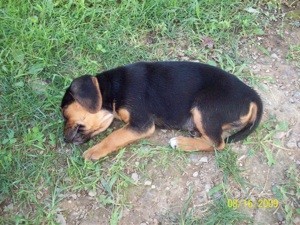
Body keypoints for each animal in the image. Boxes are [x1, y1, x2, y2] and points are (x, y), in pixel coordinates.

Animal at [60, 61, 262, 160]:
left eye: (63, 113)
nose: (63, 139)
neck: (113, 89)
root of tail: (252, 95)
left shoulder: (141, 123)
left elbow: (114, 136)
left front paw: (93, 152)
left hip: (205, 108)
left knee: (218, 143)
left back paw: (181, 143)